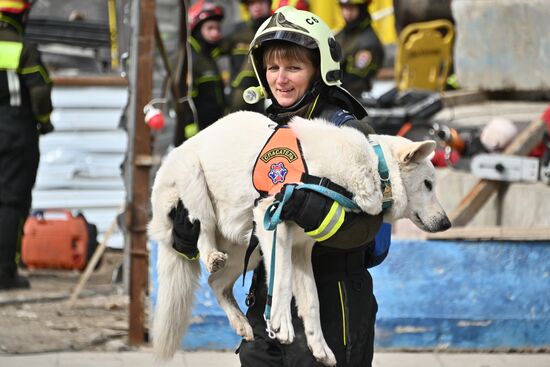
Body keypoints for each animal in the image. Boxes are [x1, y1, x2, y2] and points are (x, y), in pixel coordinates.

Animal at [150, 110, 452, 366]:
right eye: (428, 184)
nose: (447, 223)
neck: (372, 167)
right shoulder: (273, 224)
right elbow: (281, 281)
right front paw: (280, 324)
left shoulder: (300, 247)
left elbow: (311, 301)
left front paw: (319, 348)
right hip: (197, 186)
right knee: (203, 232)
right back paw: (211, 255)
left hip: (249, 249)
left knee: (216, 283)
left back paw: (241, 322)